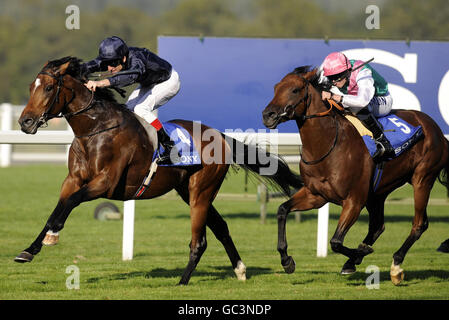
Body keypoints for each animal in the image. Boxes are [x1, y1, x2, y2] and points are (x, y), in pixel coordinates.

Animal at [14, 57, 300, 284]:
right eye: (30, 87)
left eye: (48, 87)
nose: (25, 122)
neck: (95, 130)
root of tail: (219, 135)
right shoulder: (73, 180)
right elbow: (57, 208)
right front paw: (29, 250)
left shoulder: (105, 183)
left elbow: (71, 203)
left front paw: (52, 236)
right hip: (189, 191)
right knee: (221, 227)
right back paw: (240, 270)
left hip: (201, 191)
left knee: (200, 241)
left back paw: (183, 282)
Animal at [260, 66, 446, 286]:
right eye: (275, 88)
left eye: (295, 90)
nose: (268, 115)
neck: (328, 145)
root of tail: (437, 131)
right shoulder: (316, 195)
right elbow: (282, 210)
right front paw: (287, 260)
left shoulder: (354, 201)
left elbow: (335, 241)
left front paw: (359, 253)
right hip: (378, 193)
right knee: (378, 226)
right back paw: (355, 260)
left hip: (422, 179)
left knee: (418, 224)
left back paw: (396, 265)